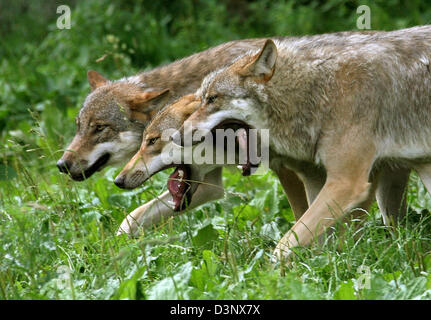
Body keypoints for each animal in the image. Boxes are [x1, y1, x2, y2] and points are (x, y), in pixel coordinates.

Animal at [176, 25, 431, 260]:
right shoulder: (318, 179)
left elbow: (285, 243)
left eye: (212, 99)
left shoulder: (346, 182)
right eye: (201, 100)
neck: (318, 93)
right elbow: (316, 239)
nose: (175, 136)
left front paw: (274, 273)